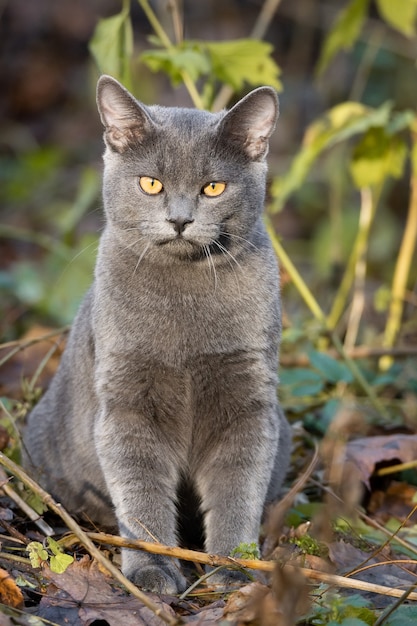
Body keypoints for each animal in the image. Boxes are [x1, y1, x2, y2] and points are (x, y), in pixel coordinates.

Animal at [22, 75, 290, 592]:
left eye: (213, 187)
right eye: (151, 183)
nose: (181, 219)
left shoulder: (249, 401)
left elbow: (239, 487)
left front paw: (235, 566)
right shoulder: (126, 400)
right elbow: (141, 490)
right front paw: (153, 569)